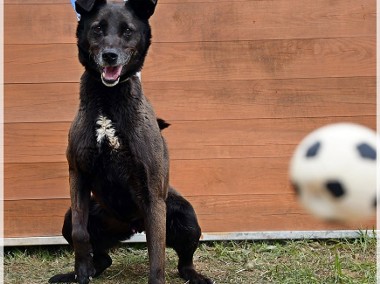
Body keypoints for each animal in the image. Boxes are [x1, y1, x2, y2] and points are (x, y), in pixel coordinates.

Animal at [47, 1, 212, 282]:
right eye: (98, 28)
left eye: (127, 31)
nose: (110, 56)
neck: (108, 100)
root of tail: (132, 226)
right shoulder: (78, 174)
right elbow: (81, 234)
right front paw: (81, 272)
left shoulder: (153, 196)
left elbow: (157, 258)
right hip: (80, 217)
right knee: (102, 257)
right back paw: (80, 271)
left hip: (185, 217)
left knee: (184, 261)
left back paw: (194, 275)